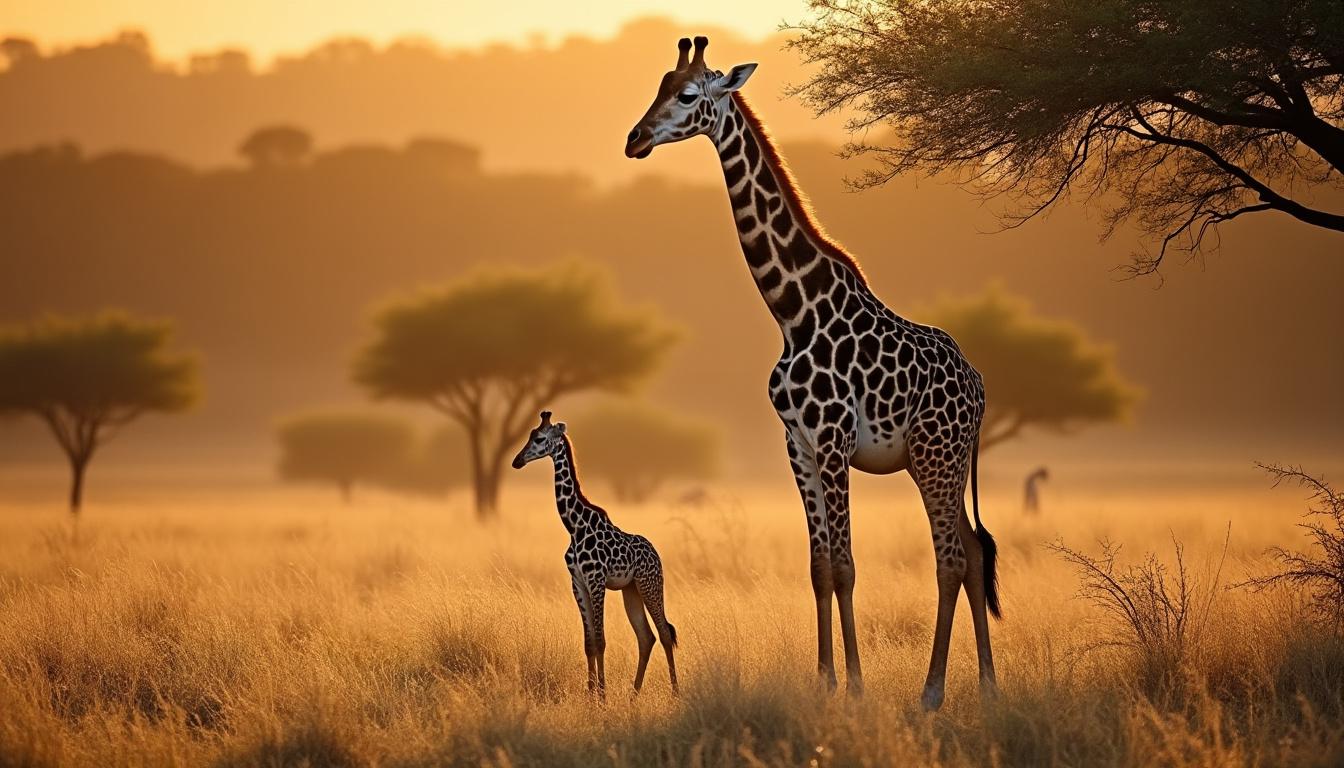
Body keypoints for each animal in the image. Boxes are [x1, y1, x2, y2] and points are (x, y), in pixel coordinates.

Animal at [511, 411, 679, 698]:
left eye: (540, 438)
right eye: (530, 435)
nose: (517, 461)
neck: (574, 526)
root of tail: (655, 553)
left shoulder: (596, 580)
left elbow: (600, 640)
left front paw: (602, 695)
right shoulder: (577, 583)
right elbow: (588, 642)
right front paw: (591, 695)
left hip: (650, 584)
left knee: (665, 633)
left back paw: (675, 693)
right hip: (631, 590)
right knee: (646, 637)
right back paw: (633, 695)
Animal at [623, 37, 1001, 709]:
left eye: (688, 95)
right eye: (659, 86)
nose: (634, 139)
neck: (794, 313)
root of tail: (979, 386)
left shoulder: (831, 440)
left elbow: (847, 566)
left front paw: (855, 688)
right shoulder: (795, 443)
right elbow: (820, 567)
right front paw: (824, 681)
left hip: (936, 455)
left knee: (952, 560)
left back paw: (932, 692)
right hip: (942, 460)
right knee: (977, 552)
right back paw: (987, 686)